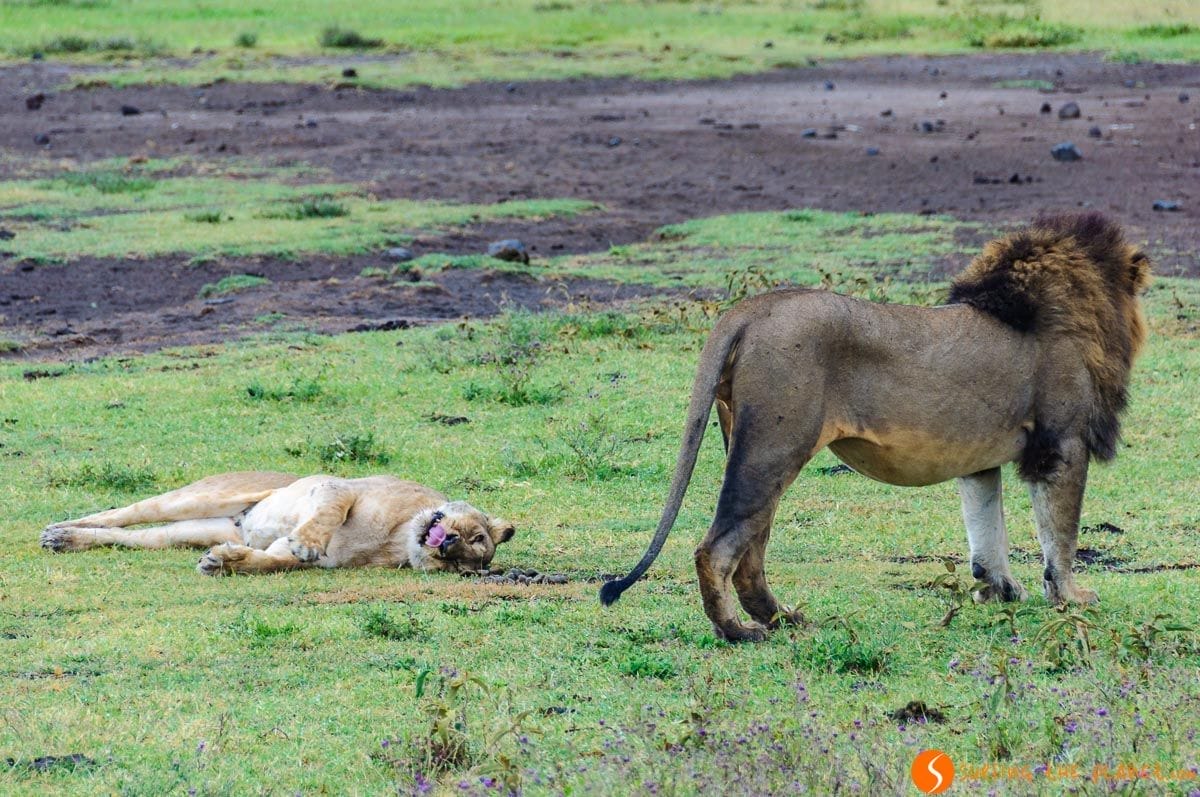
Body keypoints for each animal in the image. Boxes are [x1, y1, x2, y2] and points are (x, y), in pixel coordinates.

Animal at [601, 213, 1151, 642]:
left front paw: (999, 592)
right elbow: (1060, 535)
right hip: (775, 444)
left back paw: (784, 620)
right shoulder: (1061, 444)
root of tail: (750, 308)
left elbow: (986, 529)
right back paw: (738, 632)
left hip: (751, 440)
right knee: (716, 549)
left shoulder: (980, 459)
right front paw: (1071, 598)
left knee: (750, 552)